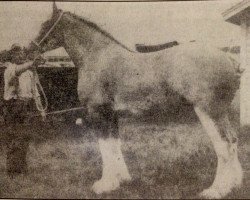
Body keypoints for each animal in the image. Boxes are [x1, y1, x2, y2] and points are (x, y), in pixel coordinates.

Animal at [26, 3, 242, 198]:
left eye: (45, 25)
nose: (28, 50)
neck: (98, 56)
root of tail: (228, 58)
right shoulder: (112, 114)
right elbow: (115, 145)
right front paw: (121, 179)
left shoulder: (98, 112)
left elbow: (105, 147)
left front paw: (105, 184)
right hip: (220, 113)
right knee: (233, 140)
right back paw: (234, 183)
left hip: (208, 111)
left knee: (223, 145)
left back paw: (216, 190)